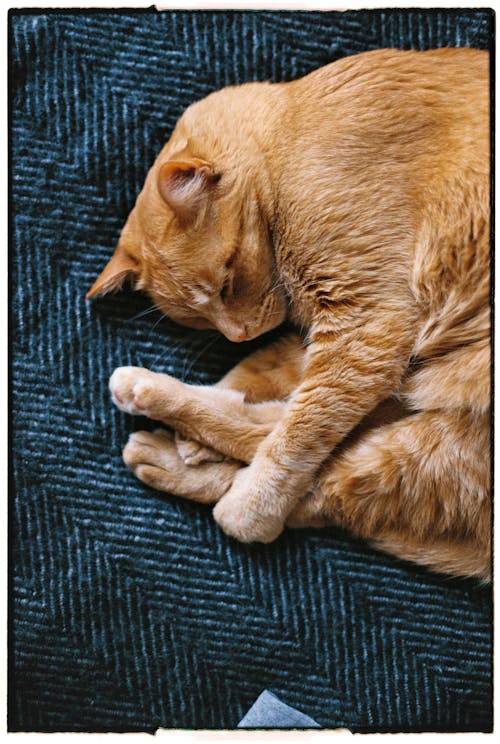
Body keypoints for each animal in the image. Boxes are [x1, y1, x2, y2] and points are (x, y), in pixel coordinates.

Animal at [88, 49, 490, 584]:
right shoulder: (331, 332)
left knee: (317, 488)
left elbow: (299, 435)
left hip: (431, 440)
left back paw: (176, 455)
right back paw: (158, 414)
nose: (238, 333)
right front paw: (217, 405)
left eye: (227, 282)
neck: (290, 137)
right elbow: (267, 377)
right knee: (300, 451)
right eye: (200, 320)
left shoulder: (366, 327)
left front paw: (247, 504)